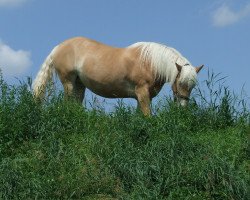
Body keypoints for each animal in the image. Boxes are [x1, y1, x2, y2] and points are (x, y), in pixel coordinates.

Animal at [32, 36, 203, 115]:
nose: (183, 108)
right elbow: (147, 115)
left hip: (79, 84)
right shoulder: (142, 93)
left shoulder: (142, 97)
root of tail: (58, 47)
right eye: (180, 83)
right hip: (68, 81)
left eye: (192, 86)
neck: (150, 63)